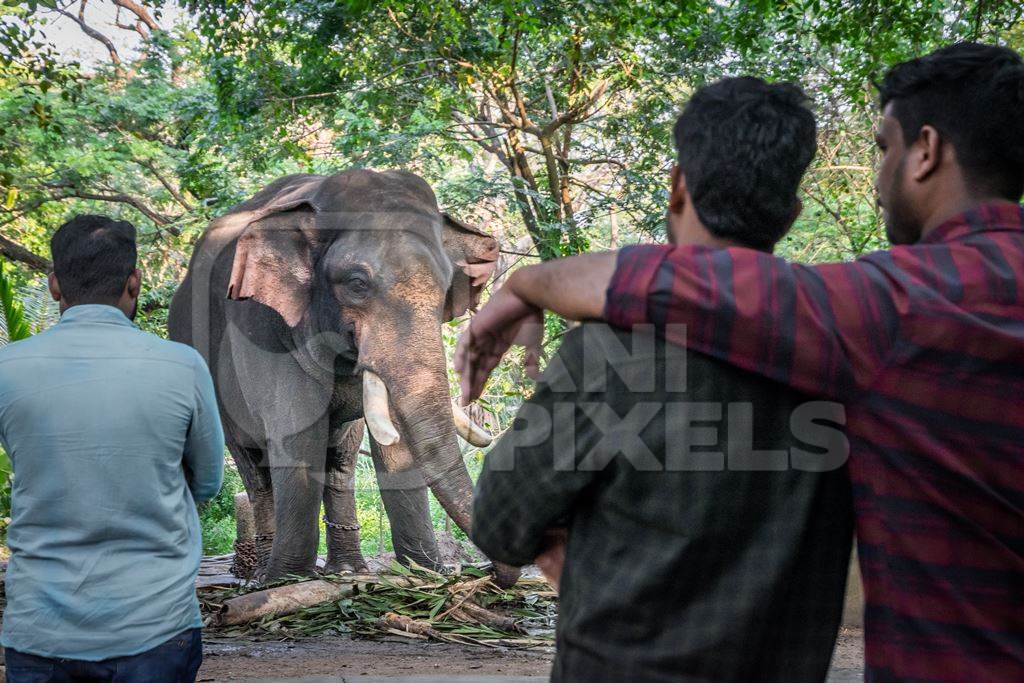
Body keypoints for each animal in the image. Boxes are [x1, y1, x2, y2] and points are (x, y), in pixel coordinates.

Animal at [171, 167, 520, 585]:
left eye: (445, 286)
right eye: (357, 284)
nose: (489, 573)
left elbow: (395, 446)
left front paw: (426, 573)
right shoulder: (262, 325)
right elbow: (299, 433)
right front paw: (288, 580)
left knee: (339, 458)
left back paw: (348, 570)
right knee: (254, 467)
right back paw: (260, 576)